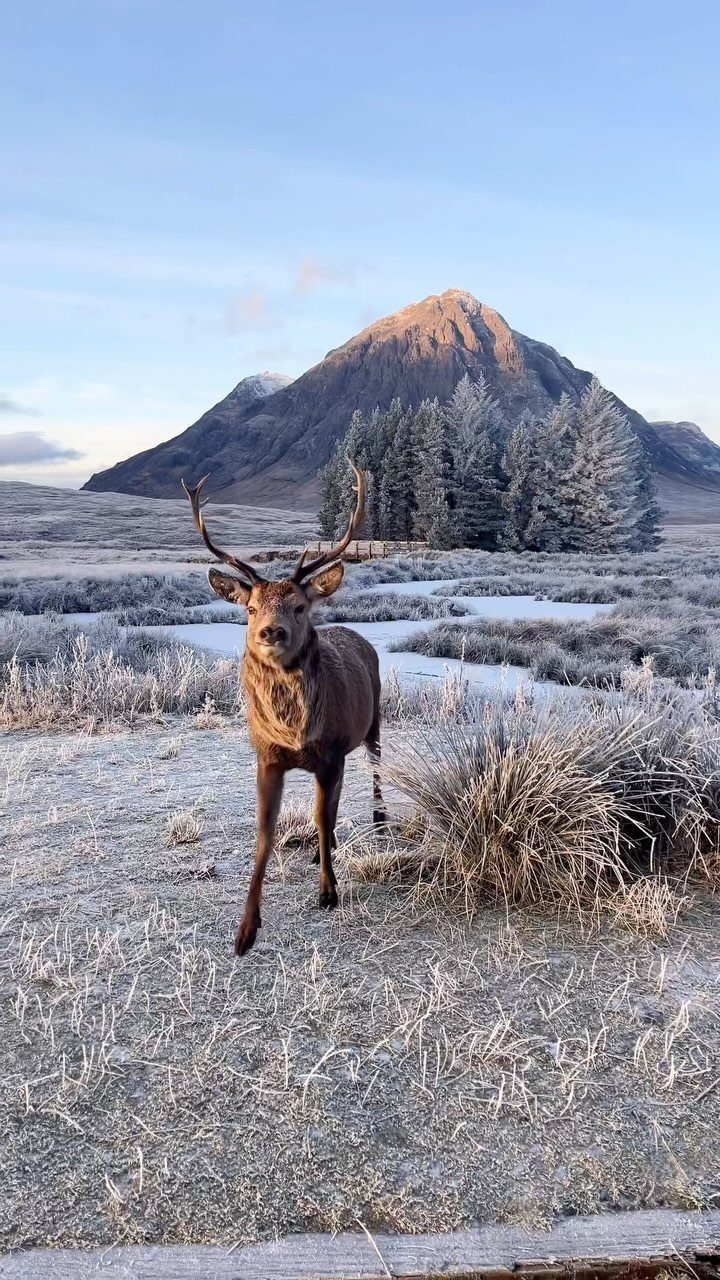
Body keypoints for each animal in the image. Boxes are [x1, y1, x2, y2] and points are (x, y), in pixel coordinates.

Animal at [182, 461, 385, 956]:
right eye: (251, 607)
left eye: (298, 606)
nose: (270, 632)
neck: (294, 732)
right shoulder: (267, 757)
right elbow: (266, 831)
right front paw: (245, 929)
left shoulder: (329, 752)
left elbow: (319, 815)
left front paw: (328, 891)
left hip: (374, 719)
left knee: (374, 766)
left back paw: (380, 821)